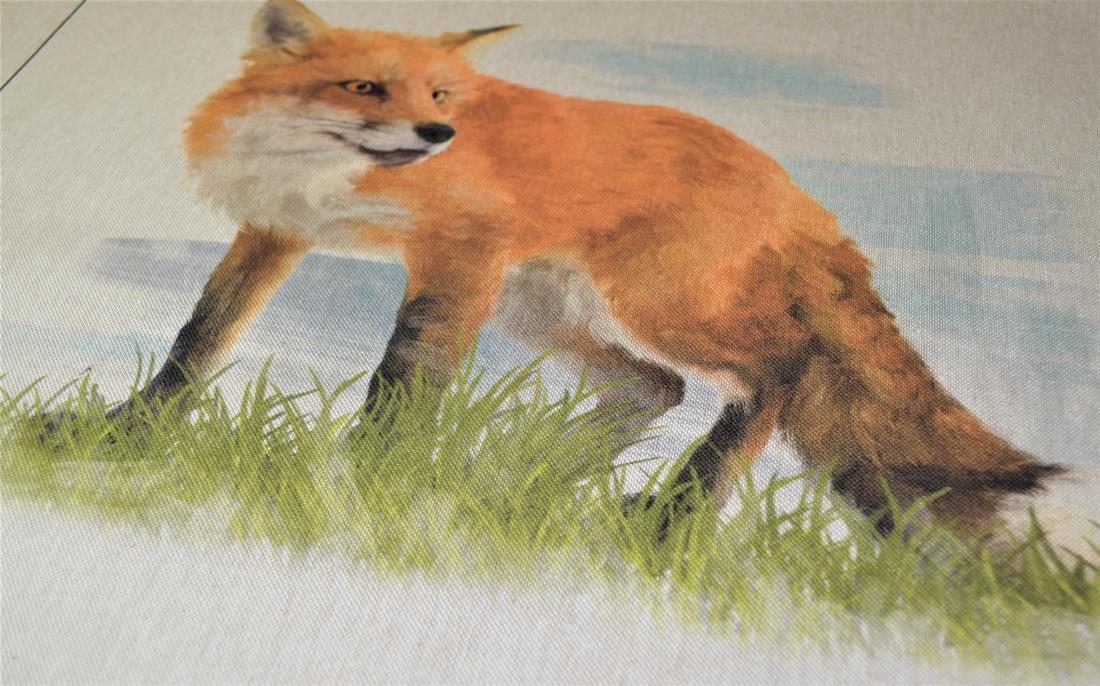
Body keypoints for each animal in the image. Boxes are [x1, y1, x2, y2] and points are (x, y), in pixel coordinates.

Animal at [101, 0, 1081, 545]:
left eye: (441, 95)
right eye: (366, 89)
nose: (437, 134)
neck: (330, 181)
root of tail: (792, 188)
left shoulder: (461, 253)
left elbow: (406, 375)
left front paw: (360, 478)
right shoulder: (274, 235)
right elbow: (200, 338)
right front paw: (124, 434)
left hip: (658, 304)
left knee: (779, 370)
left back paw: (674, 515)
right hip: (543, 312)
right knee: (652, 387)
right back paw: (519, 480)